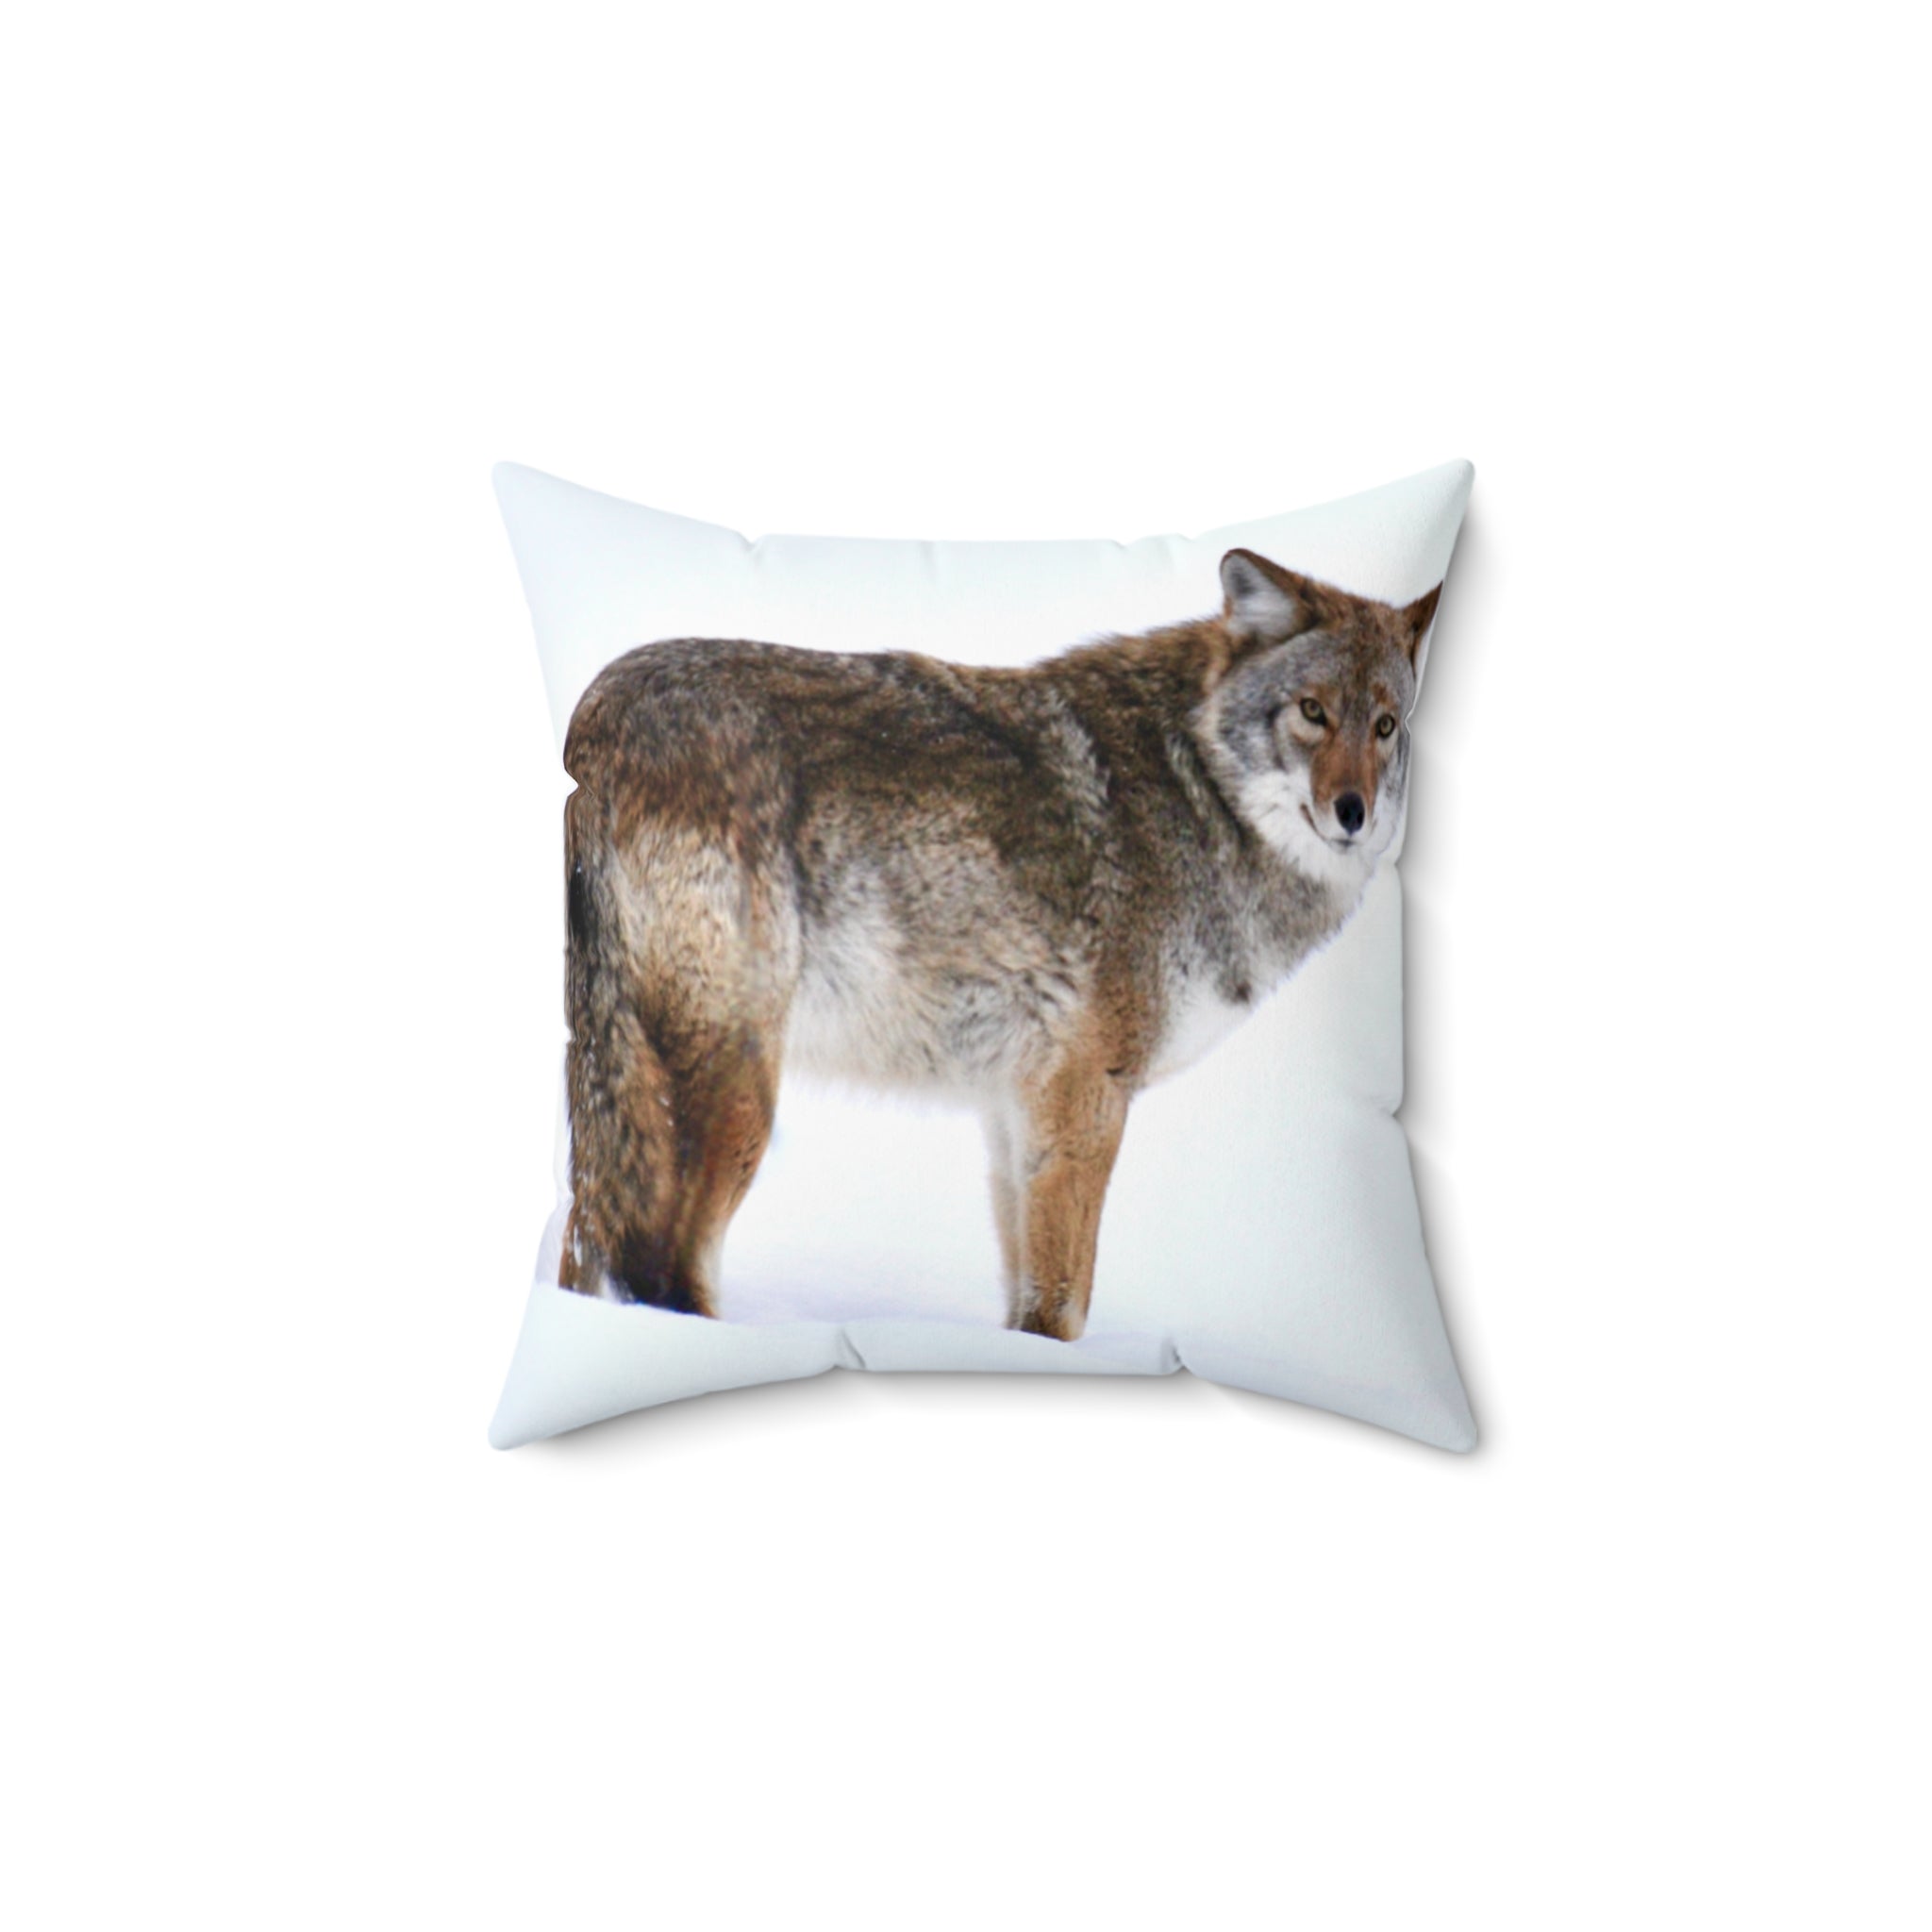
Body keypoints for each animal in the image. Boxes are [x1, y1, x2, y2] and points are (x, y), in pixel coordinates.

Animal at [556, 548, 1442, 1339]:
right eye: (1312, 711)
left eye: (1385, 726)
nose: (1354, 813)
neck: (1196, 788)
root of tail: (597, 711)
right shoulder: (1086, 1096)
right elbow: (1063, 1309)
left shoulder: (1016, 1109)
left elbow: (1026, 1306)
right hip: (738, 1089)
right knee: (666, 1275)